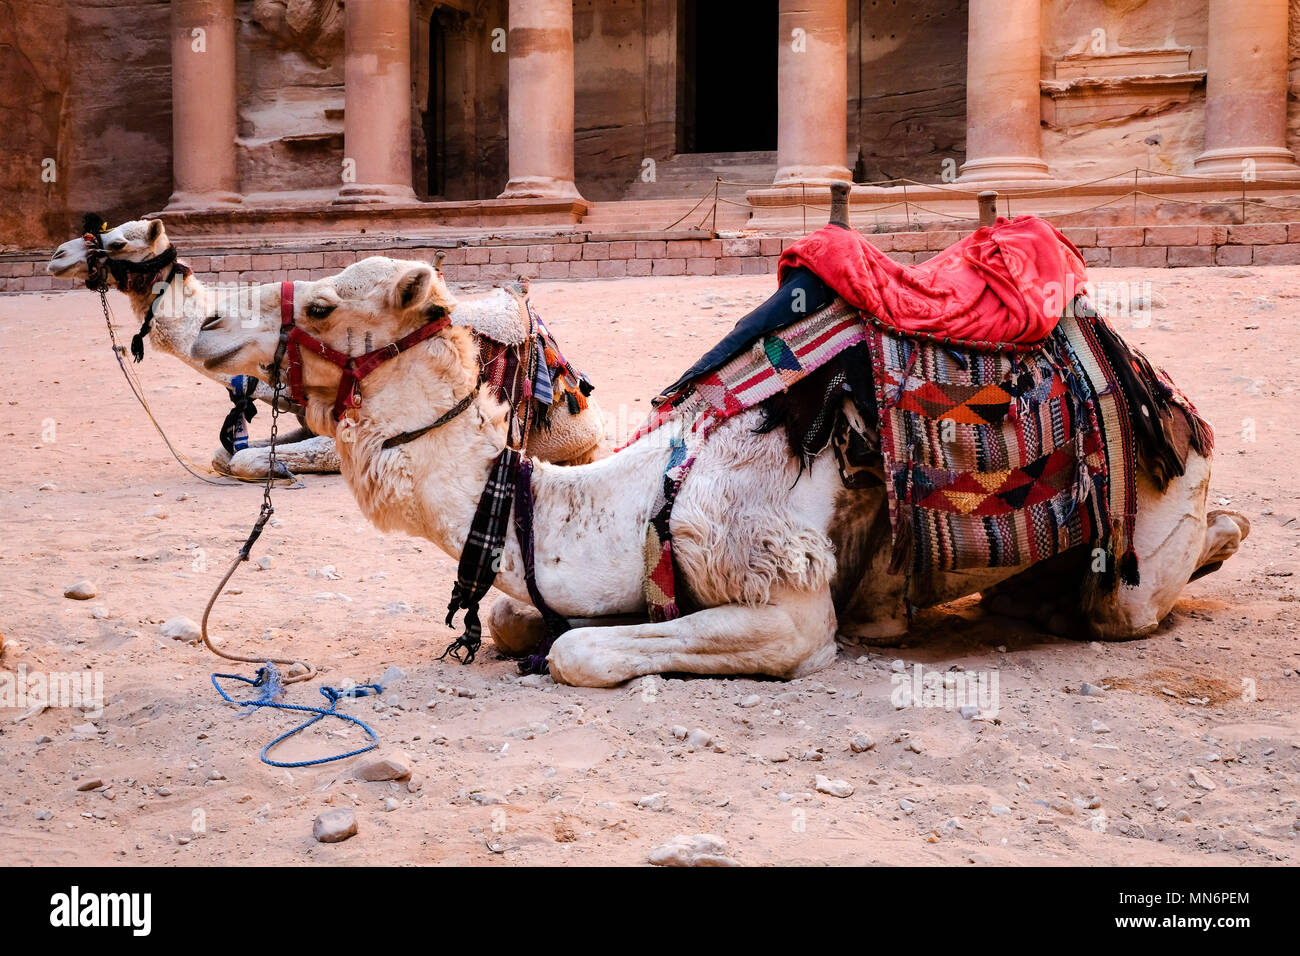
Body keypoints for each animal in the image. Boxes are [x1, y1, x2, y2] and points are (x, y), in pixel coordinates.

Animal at [189, 257, 1248, 686]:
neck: (628, 496)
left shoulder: (780, 594)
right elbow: (514, 618)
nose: (199, 322)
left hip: (1151, 529)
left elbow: (578, 652)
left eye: (321, 306)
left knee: (1137, 593)